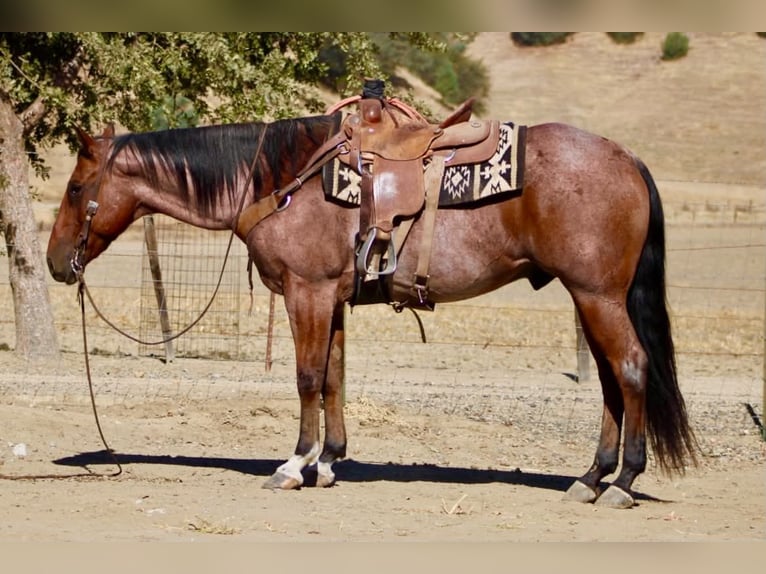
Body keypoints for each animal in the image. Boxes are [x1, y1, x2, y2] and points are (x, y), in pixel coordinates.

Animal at [46, 109, 697, 509]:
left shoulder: (306, 292)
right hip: (588, 298)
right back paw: (590, 478)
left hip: (597, 295)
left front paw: (294, 465)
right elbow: (334, 377)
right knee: (611, 381)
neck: (280, 180)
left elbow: (308, 377)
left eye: (75, 189)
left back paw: (623, 481)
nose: (55, 262)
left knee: (631, 369)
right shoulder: (331, 297)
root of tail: (626, 157)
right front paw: (330, 462)